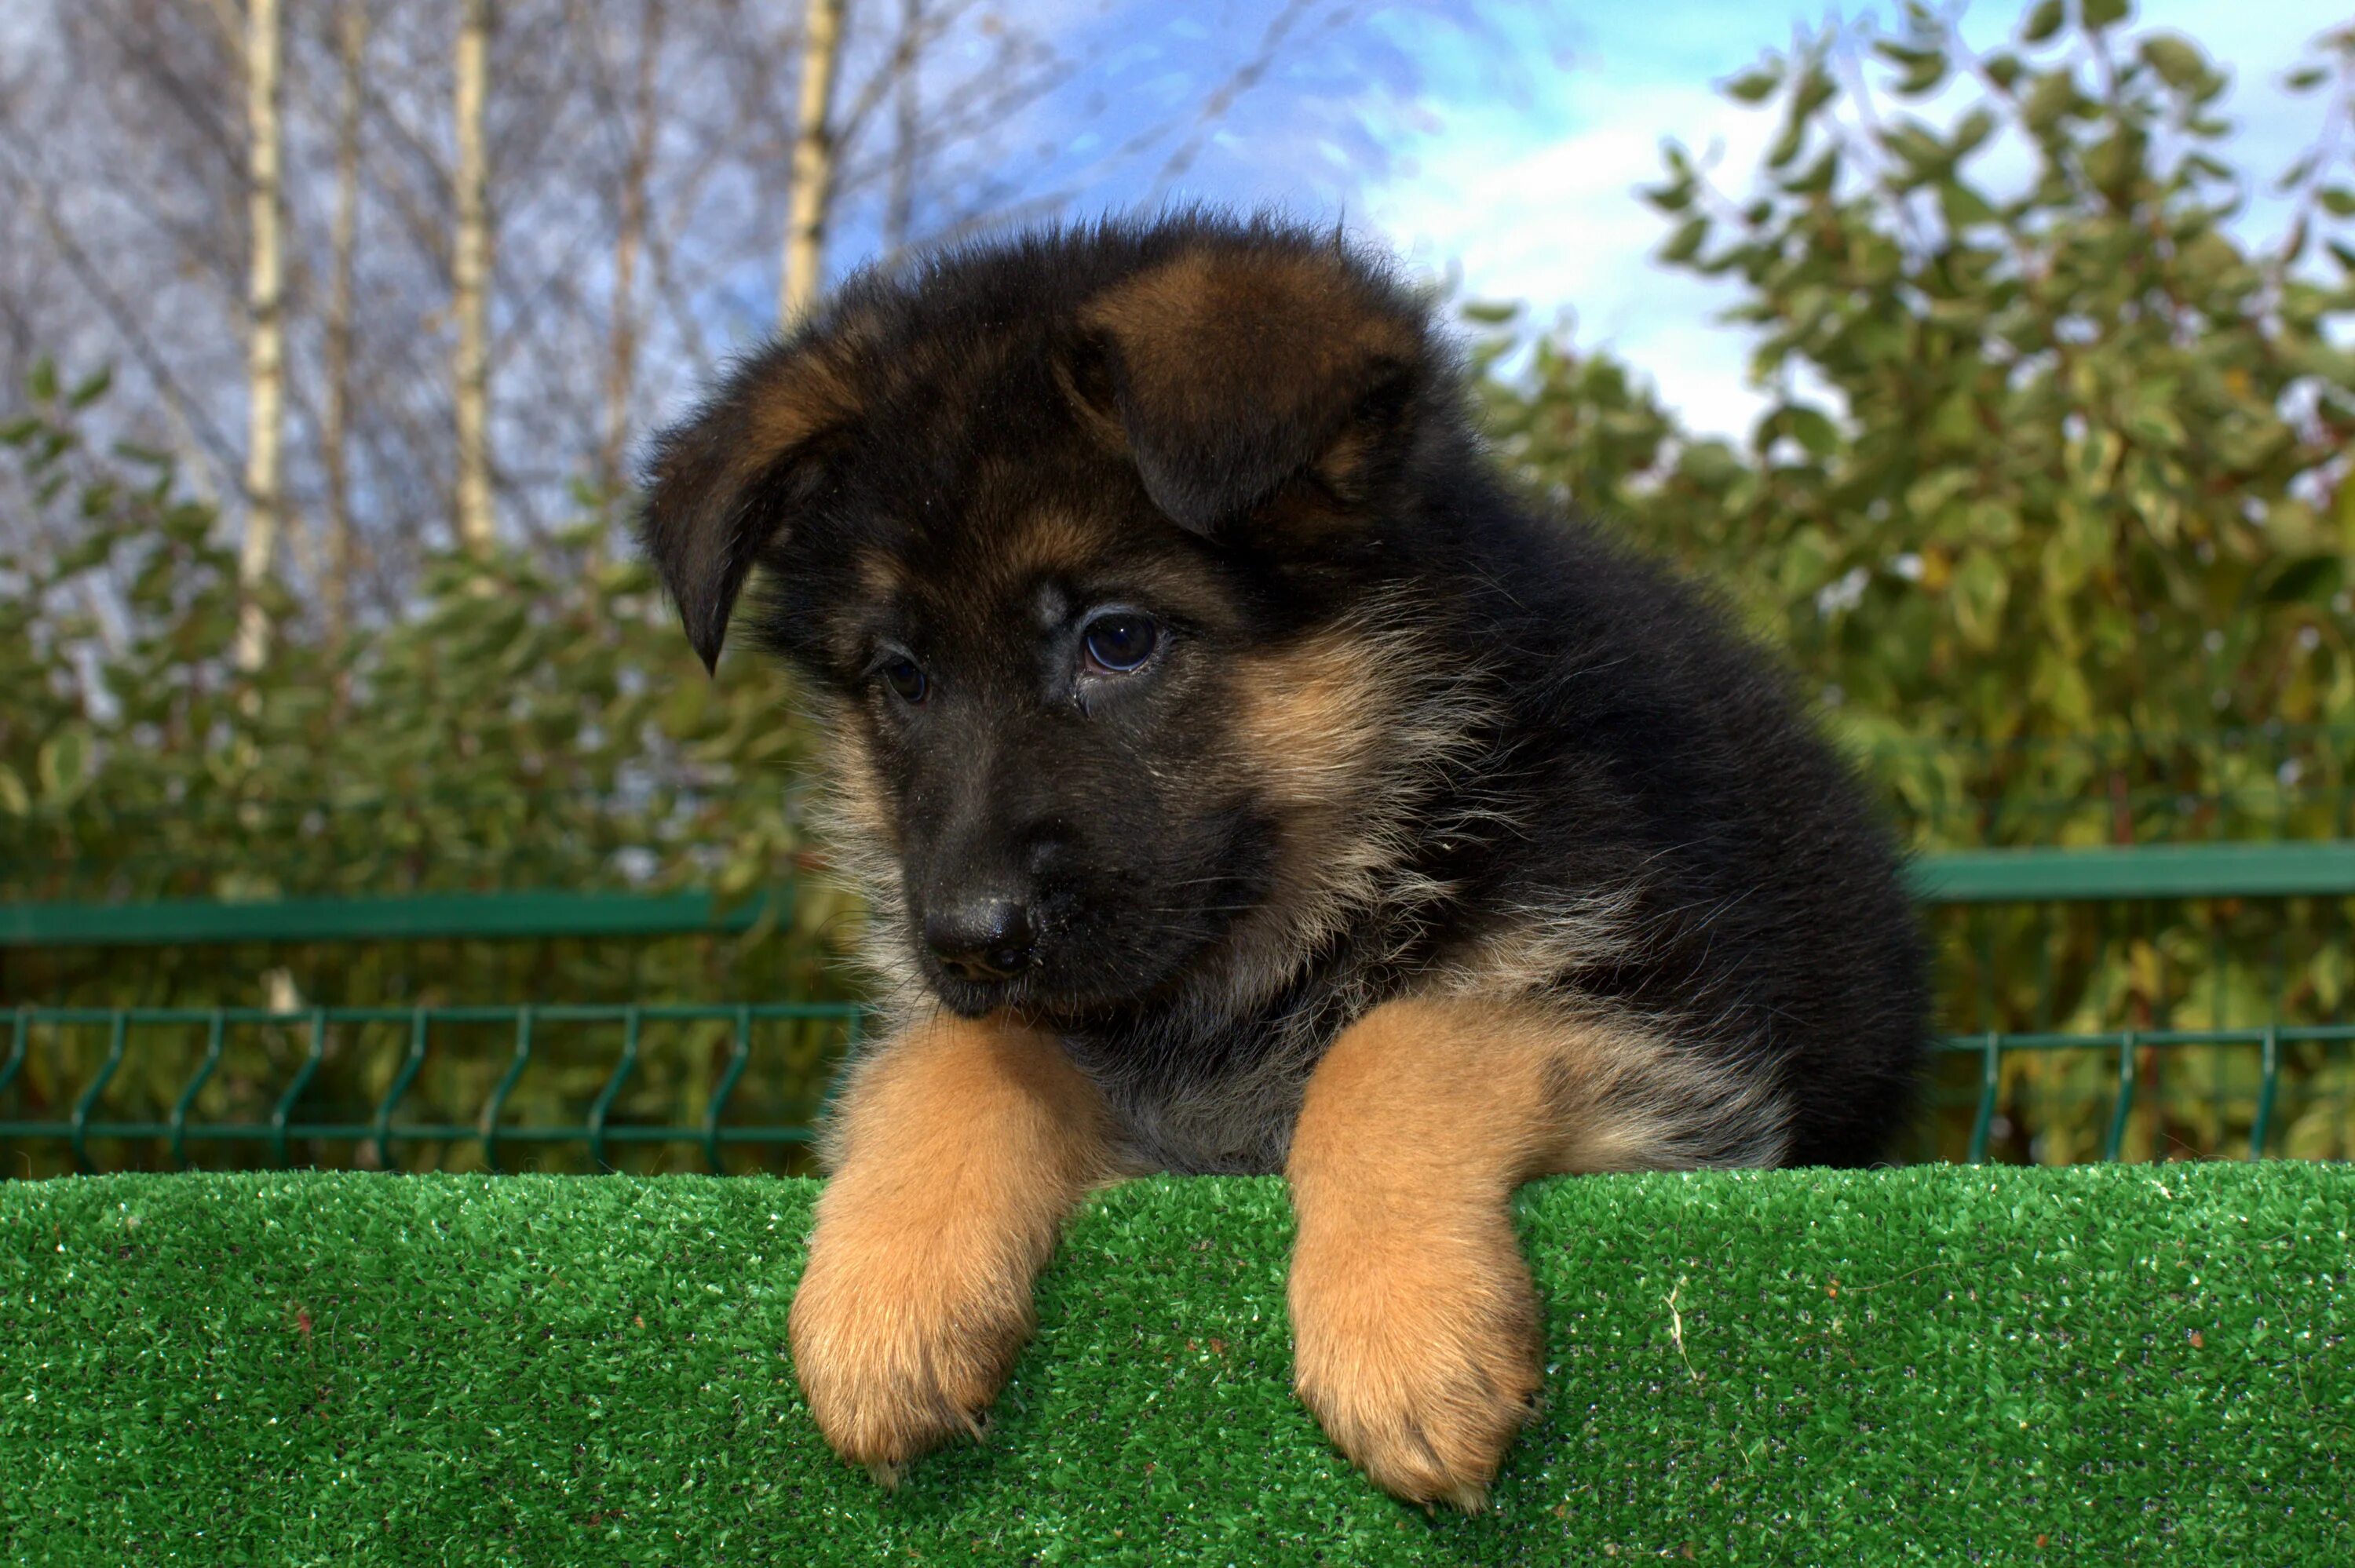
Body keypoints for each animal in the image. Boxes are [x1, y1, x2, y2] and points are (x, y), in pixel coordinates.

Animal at [636, 214, 1922, 1507]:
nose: (967, 938)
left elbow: (1403, 1040)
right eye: (902, 676)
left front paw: (1404, 1329)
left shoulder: (1663, 1039)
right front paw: (885, 1294)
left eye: (1117, 639)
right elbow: (956, 1056)